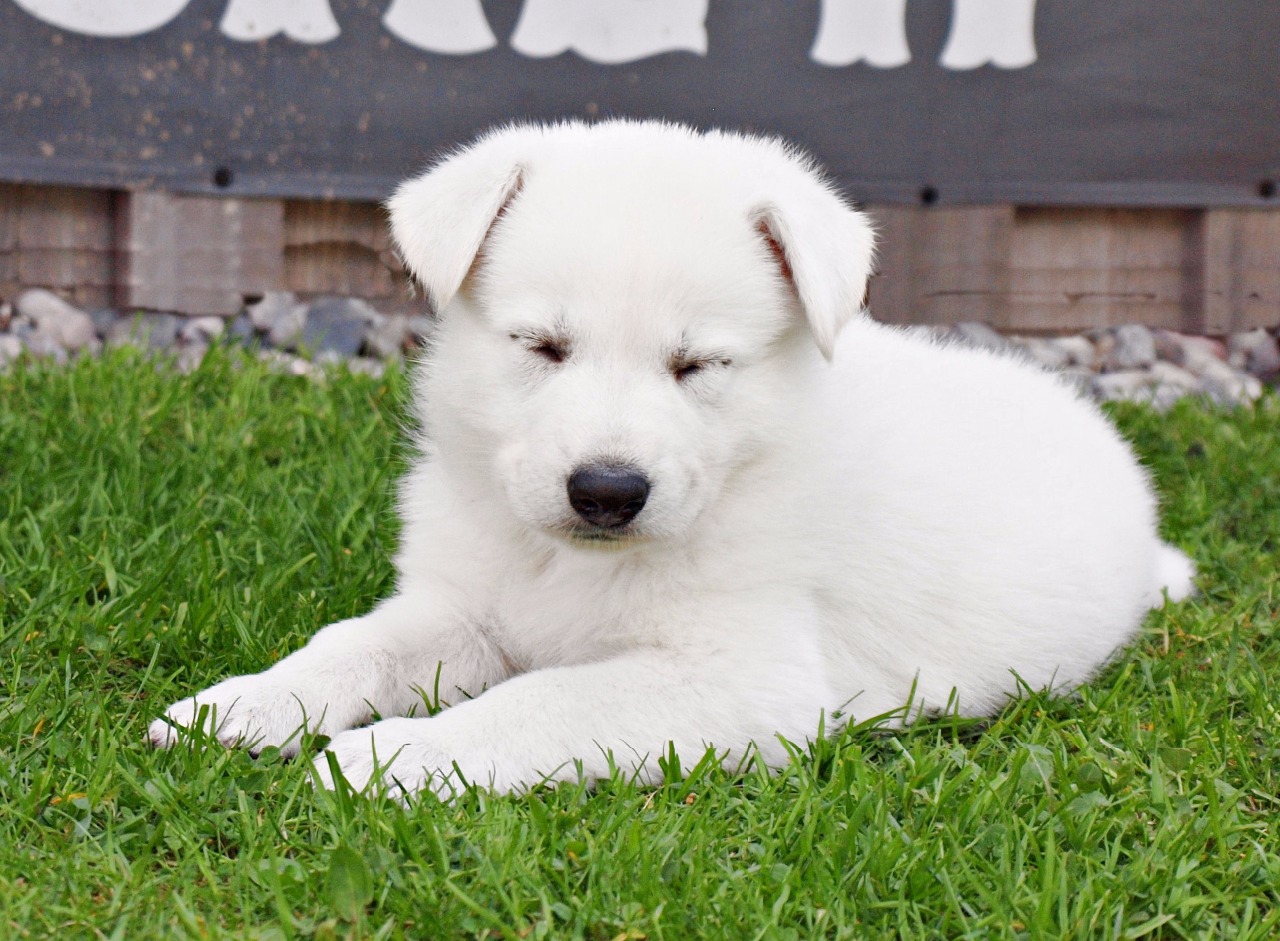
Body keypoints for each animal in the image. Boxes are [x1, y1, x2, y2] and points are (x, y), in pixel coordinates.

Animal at [150, 120, 1195, 796]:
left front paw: (391, 758)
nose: (607, 491)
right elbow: (352, 644)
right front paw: (243, 706)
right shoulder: (460, 607)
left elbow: (542, 700)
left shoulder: (743, 682)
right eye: (543, 346)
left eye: (699, 365)